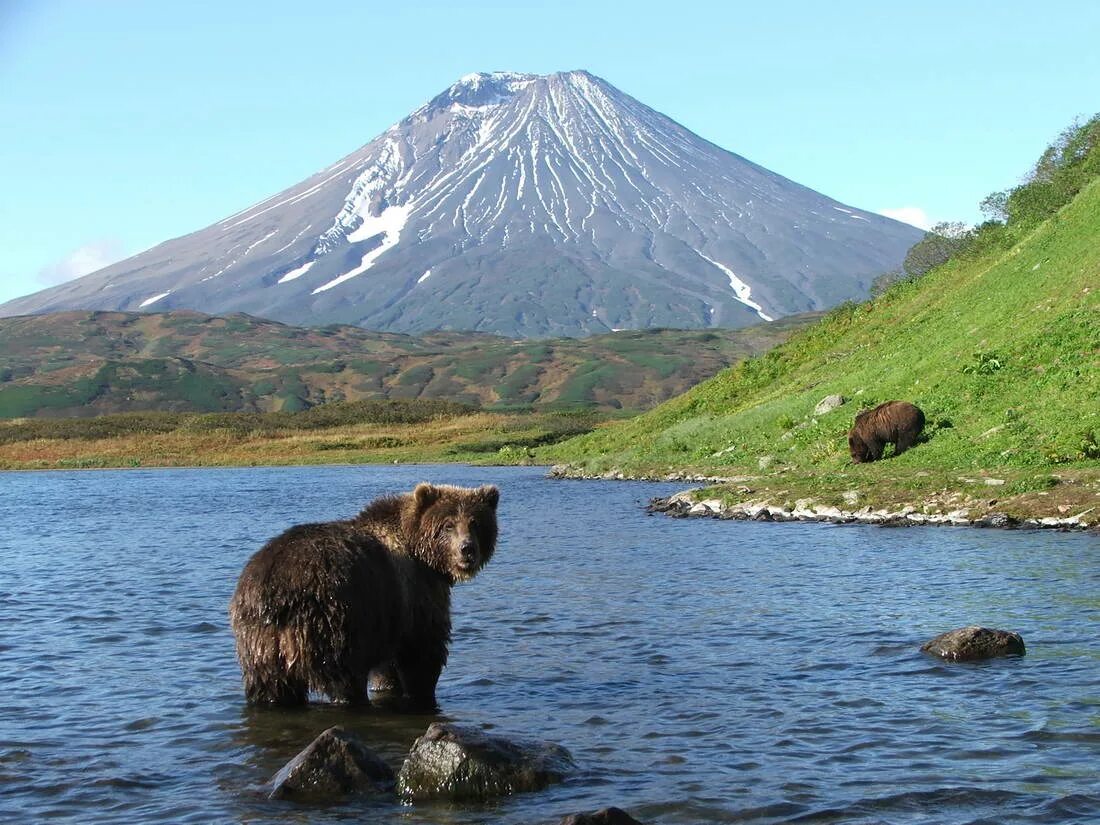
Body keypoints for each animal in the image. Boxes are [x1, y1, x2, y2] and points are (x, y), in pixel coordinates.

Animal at [229, 484, 501, 712]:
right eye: (447, 525)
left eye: (476, 523)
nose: (467, 550)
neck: (422, 555)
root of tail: (273, 593)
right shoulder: (415, 594)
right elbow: (423, 651)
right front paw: (422, 690)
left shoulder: (390, 615)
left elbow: (387, 667)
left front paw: (388, 686)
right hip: (331, 620)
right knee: (342, 676)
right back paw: (351, 699)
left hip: (259, 641)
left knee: (269, 687)